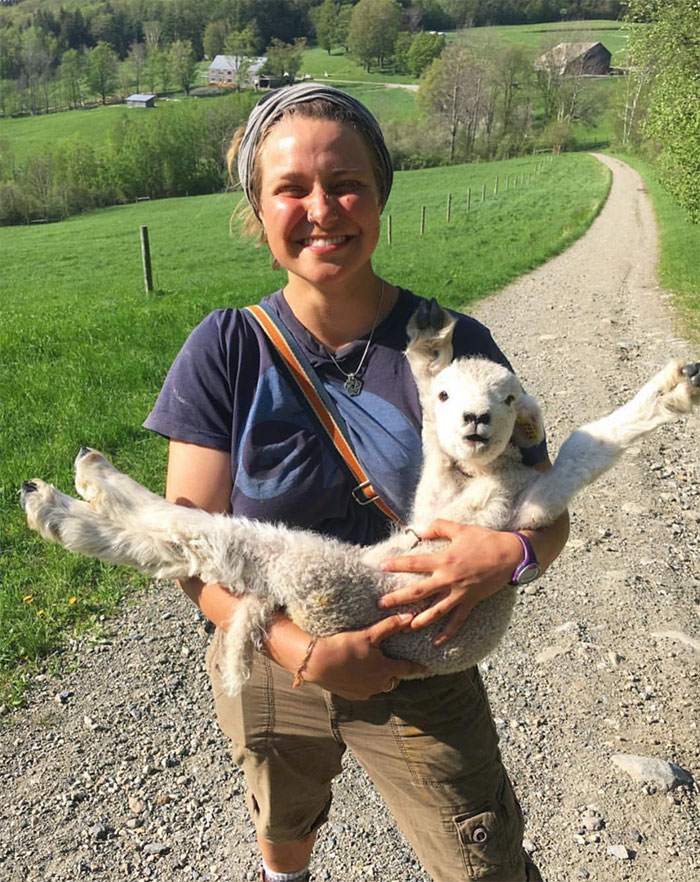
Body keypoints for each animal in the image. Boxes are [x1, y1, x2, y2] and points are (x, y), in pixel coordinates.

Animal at [21, 301, 700, 695]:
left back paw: (68, 497)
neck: (476, 478)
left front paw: (670, 395)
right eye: (452, 398)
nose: (477, 420)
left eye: (509, 399)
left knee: (194, 537)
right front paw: (428, 349)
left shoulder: (519, 509)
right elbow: (429, 429)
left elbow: (587, 447)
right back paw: (61, 491)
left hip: (319, 574)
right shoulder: (433, 496)